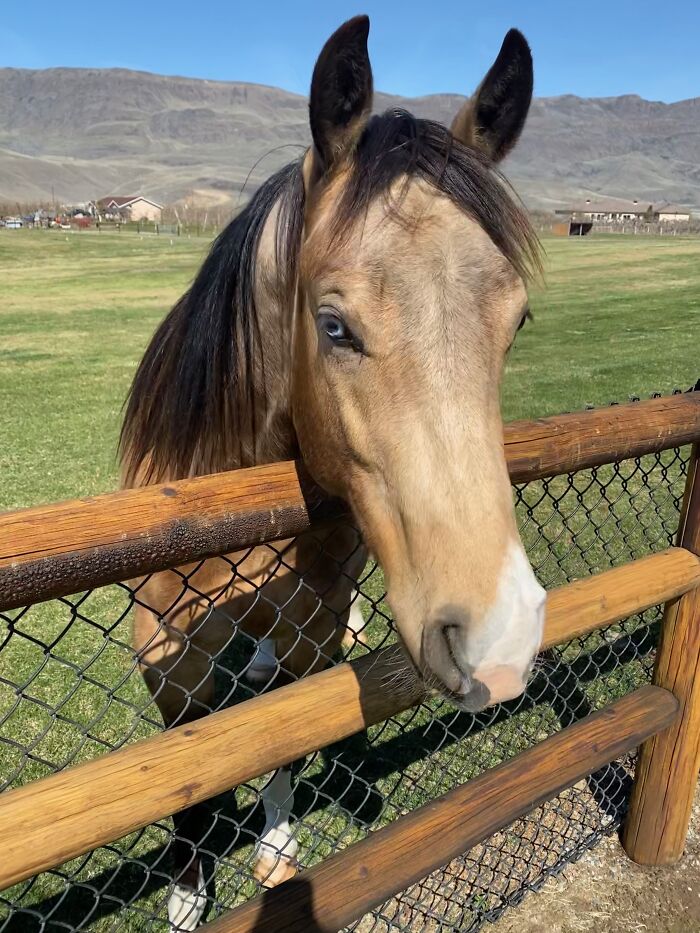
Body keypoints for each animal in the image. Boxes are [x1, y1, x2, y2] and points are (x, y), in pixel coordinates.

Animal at [120, 16, 548, 932]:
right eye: (334, 325)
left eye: (518, 321)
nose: (500, 637)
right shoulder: (164, 657)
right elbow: (189, 777)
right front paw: (186, 887)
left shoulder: (305, 635)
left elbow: (286, 733)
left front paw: (276, 849)